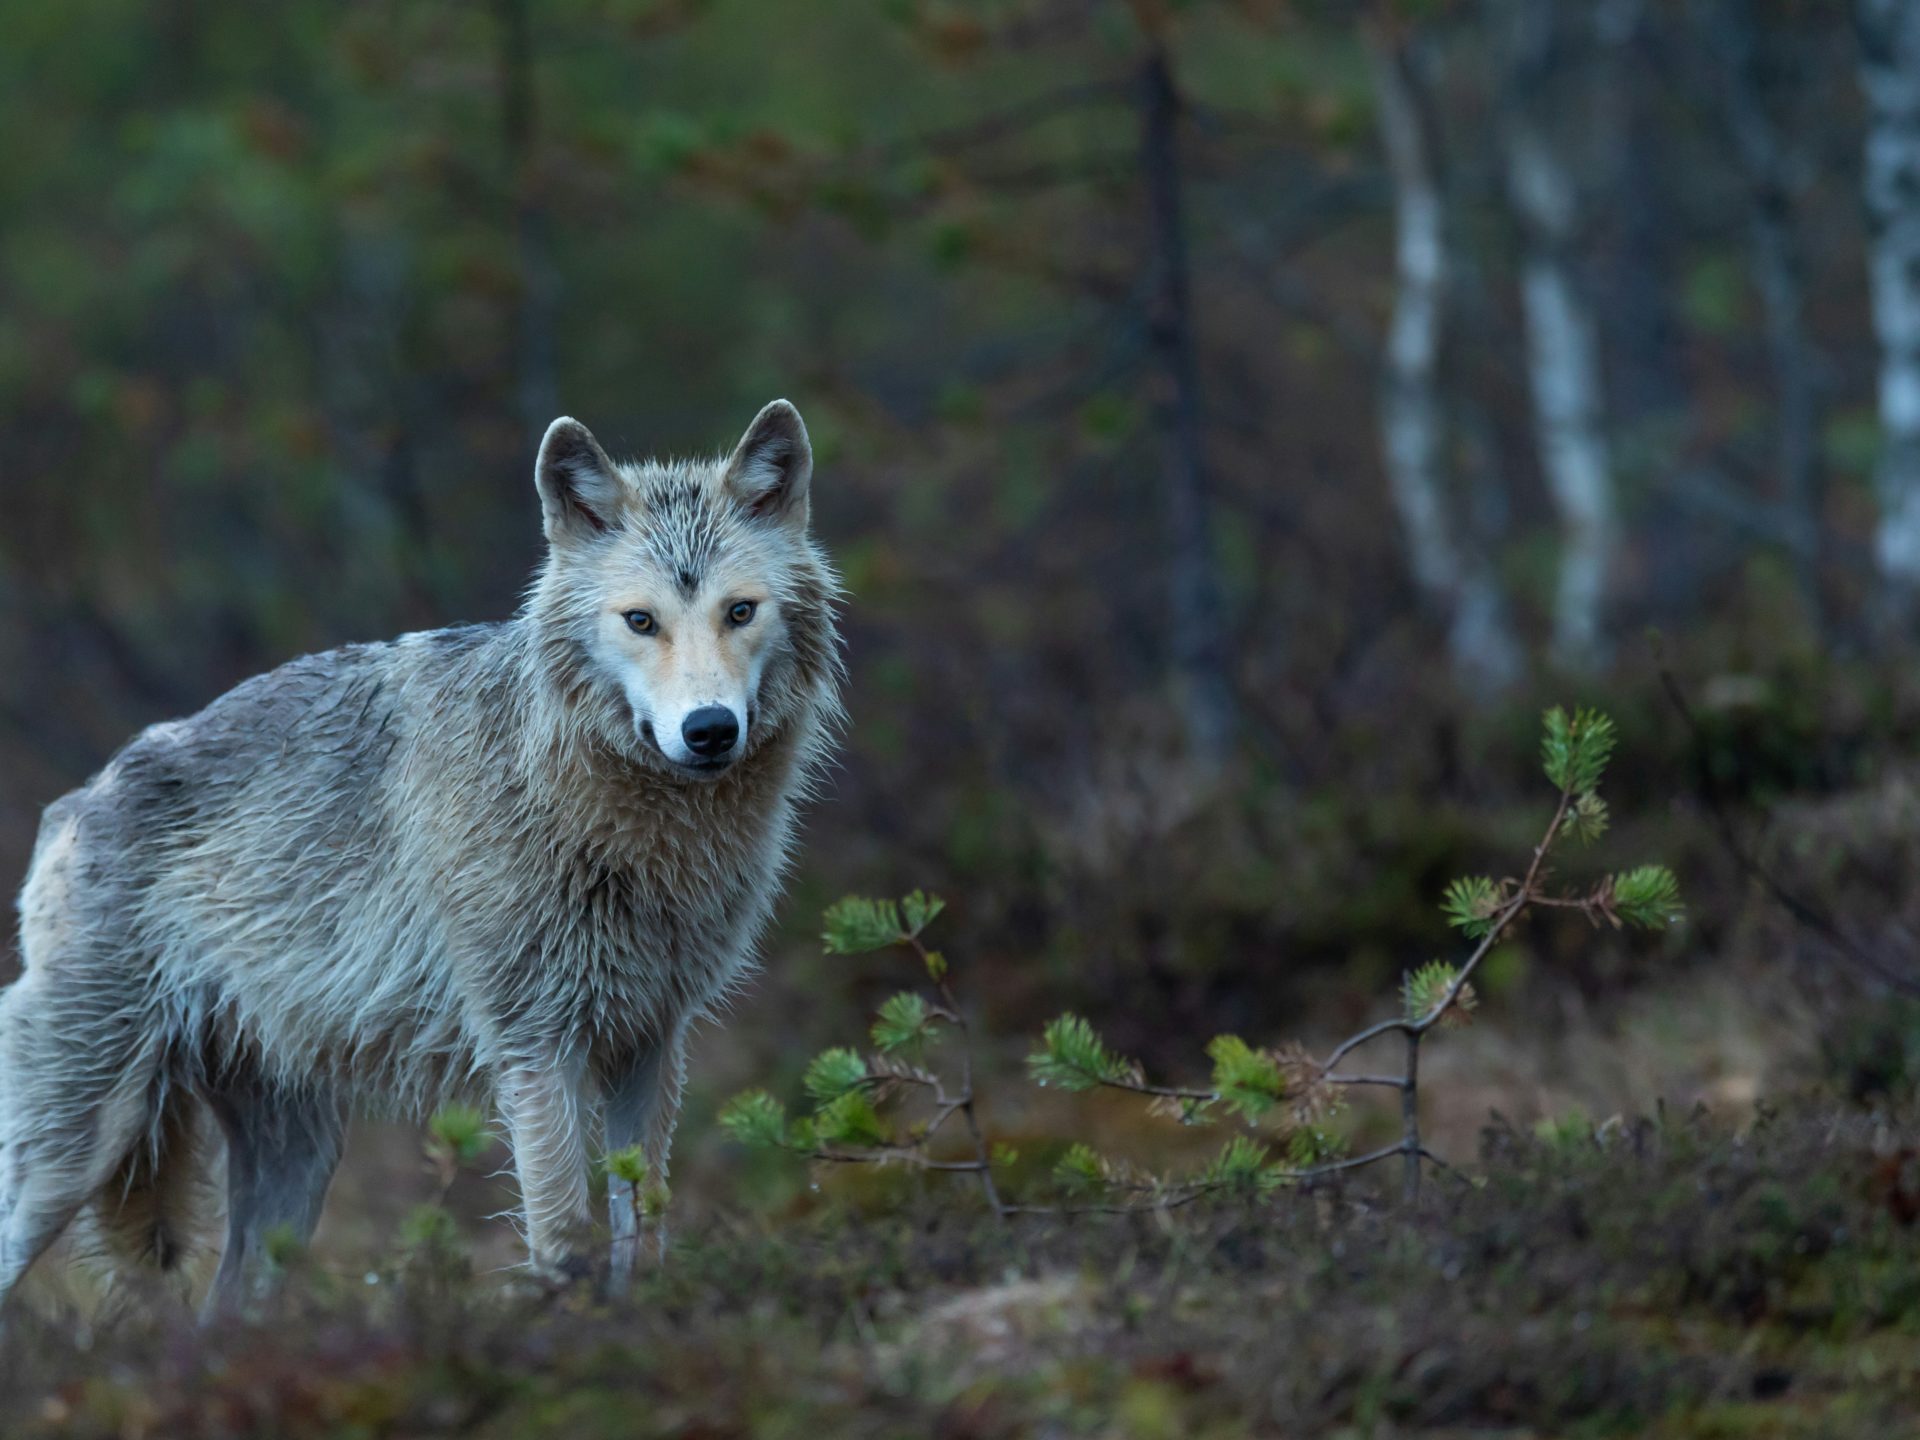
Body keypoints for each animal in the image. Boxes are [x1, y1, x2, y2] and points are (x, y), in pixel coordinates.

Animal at [0, 401, 840, 1313]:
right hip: (76, 1146)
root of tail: (73, 802)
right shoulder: (534, 1046)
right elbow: (563, 1234)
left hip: (297, 1170)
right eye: (641, 620)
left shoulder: (650, 1042)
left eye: (739, 612)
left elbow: (642, 1225)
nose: (710, 730)